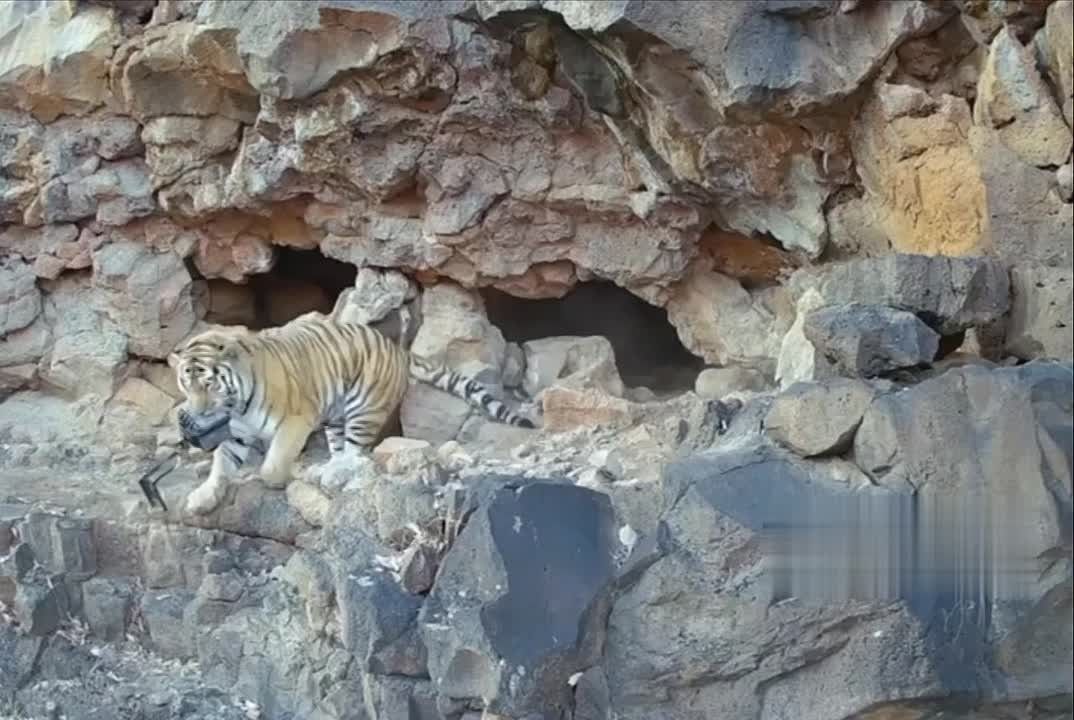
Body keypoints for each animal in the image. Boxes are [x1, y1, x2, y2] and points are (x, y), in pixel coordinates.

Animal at [167, 312, 534, 515]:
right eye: (187, 384)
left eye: (210, 384)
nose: (197, 412)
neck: (236, 405)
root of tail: (397, 348)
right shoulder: (238, 432)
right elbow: (220, 464)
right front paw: (203, 498)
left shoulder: (296, 420)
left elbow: (274, 463)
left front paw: (276, 478)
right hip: (336, 416)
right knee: (341, 449)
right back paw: (325, 469)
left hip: (363, 408)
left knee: (358, 455)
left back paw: (331, 475)